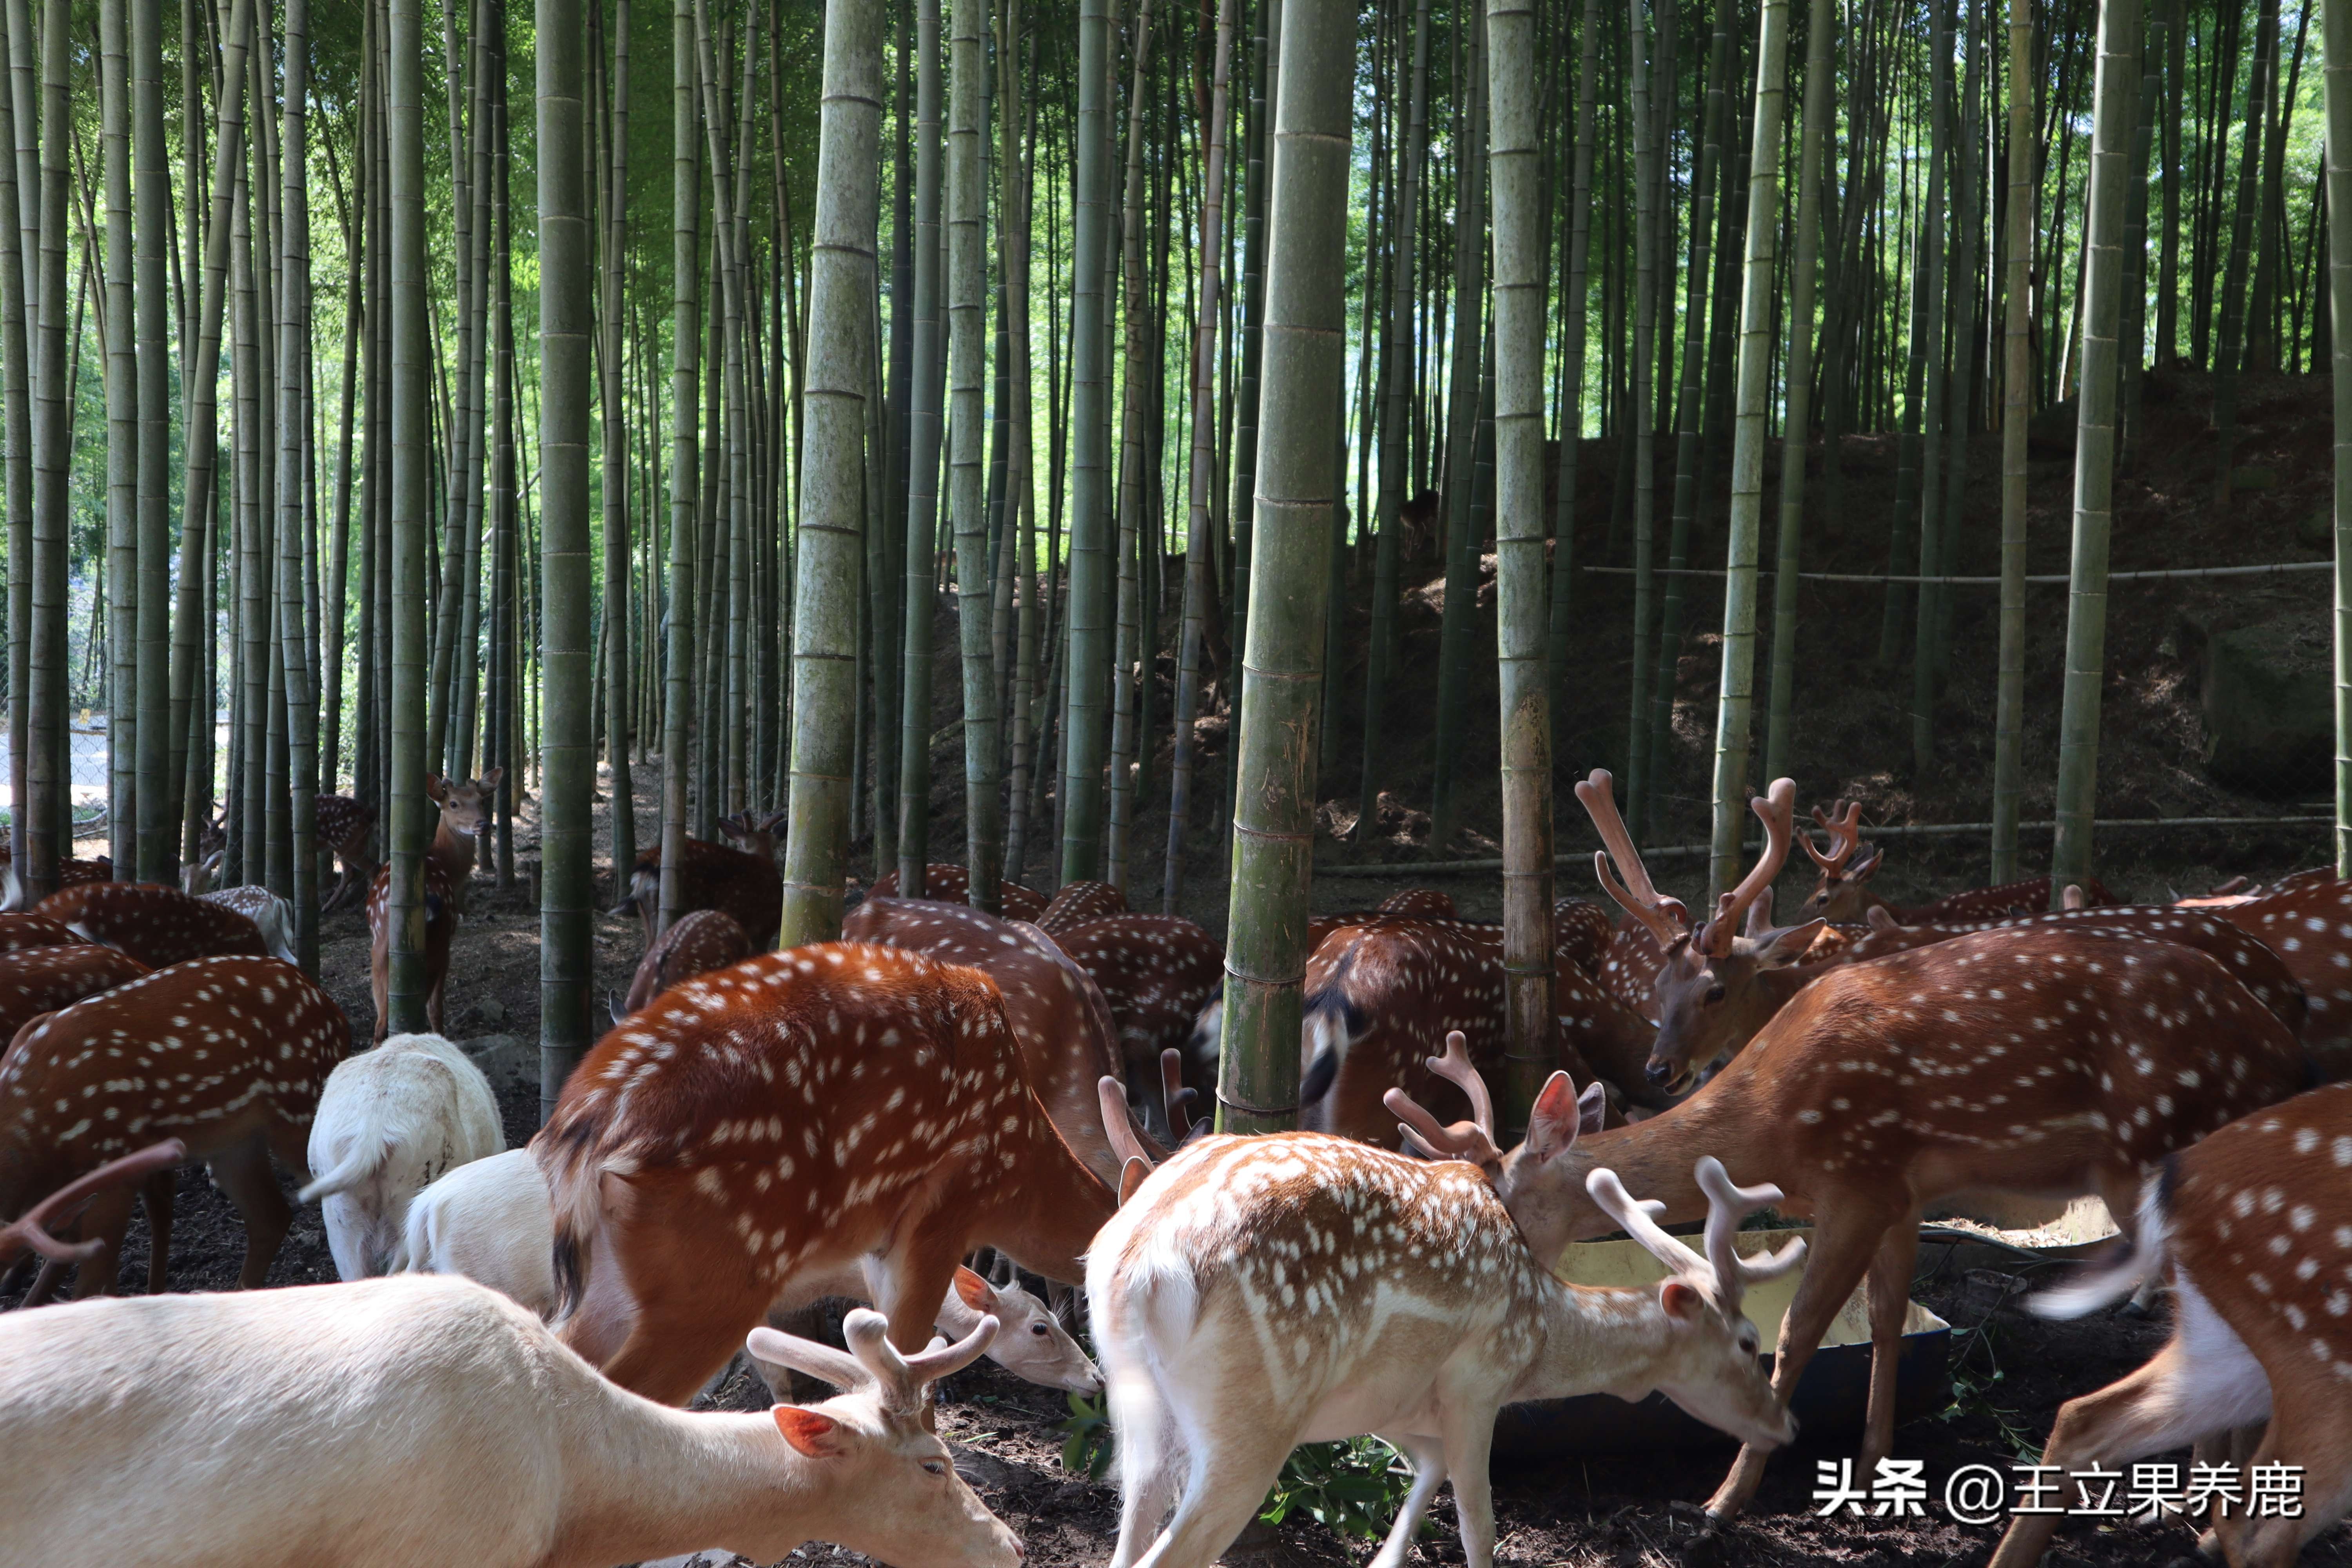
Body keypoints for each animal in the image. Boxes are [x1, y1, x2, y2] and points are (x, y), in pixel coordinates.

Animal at [0, 955, 348, 1302]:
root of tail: (335, 1012)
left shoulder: (115, 1163)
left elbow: (89, 1287)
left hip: (298, 1108)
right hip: (233, 1143)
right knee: (271, 1217)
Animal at [535, 942, 1120, 1405]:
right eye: (1041, 1327)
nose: (1098, 1380)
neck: (1017, 1174)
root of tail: (584, 1126)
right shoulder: (941, 1218)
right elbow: (907, 1366)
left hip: (611, 1282)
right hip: (711, 1273)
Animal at [1088, 1039, 1804, 1568]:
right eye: (1748, 1340)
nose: (1786, 1426)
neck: (1540, 1334)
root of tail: (1140, 1264)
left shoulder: (1389, 1404)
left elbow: (1422, 1483)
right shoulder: (1475, 1386)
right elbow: (1479, 1530)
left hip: (1139, 1411)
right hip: (1251, 1414)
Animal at [1396, 923, 2309, 1522]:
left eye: (1508, 1203)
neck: (1771, 1126)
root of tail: (2278, 1048)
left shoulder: (1857, 1178)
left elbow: (1800, 1328)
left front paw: (1725, 1498)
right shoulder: (1899, 1188)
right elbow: (1885, 1316)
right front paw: (1871, 1470)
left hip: (2145, 1152)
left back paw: (2194, 1501)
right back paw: (2225, 1493)